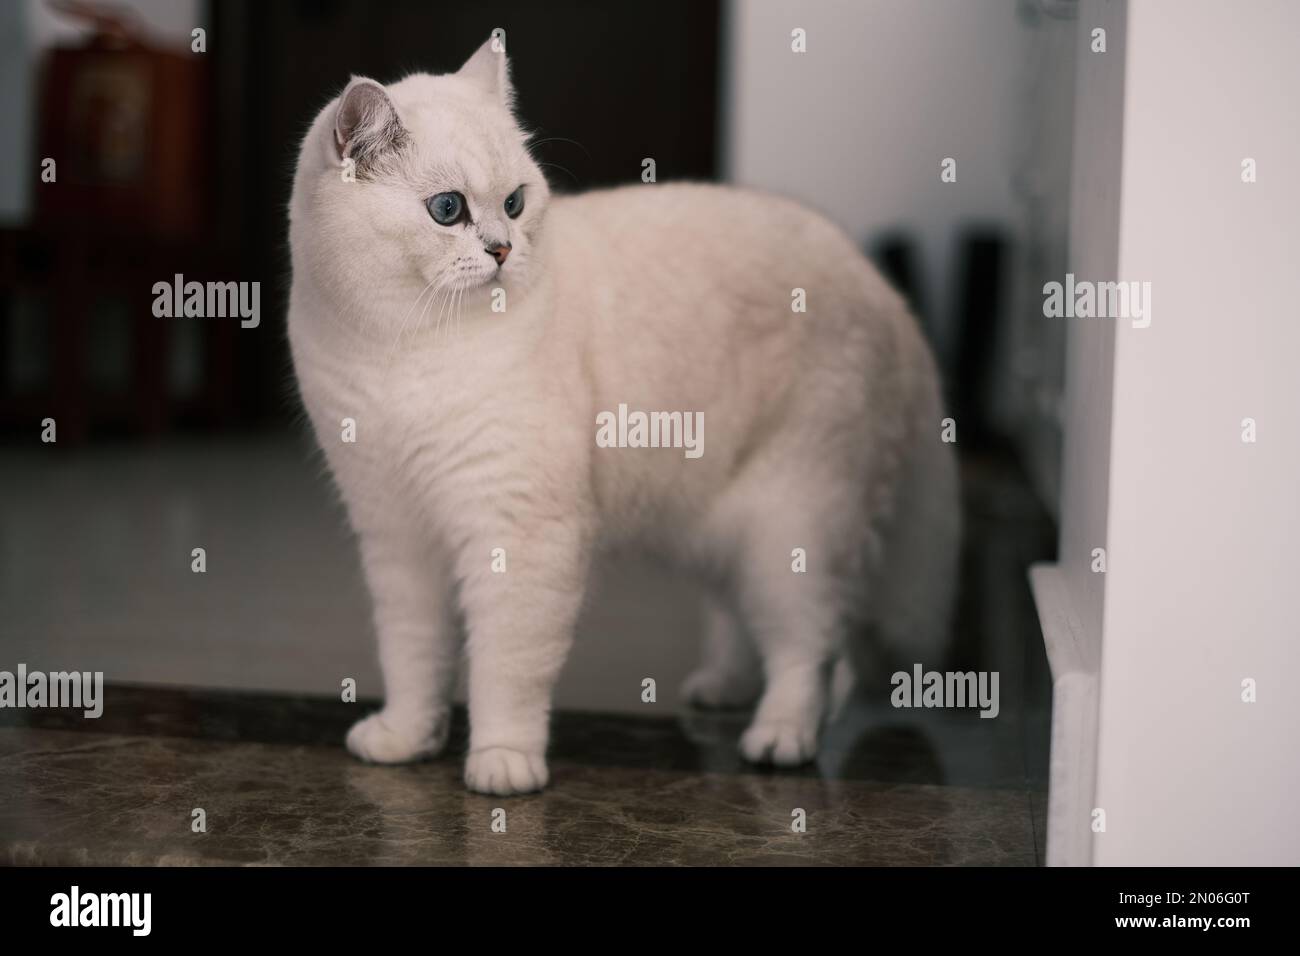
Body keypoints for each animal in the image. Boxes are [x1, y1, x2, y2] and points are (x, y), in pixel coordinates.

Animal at [289, 41, 961, 796]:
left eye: (515, 204)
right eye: (447, 210)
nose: (503, 250)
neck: (402, 351)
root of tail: (884, 289)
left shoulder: (519, 535)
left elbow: (505, 671)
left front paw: (502, 764)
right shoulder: (397, 538)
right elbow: (412, 657)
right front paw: (407, 739)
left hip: (791, 530)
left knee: (814, 653)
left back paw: (780, 738)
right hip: (719, 530)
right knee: (746, 623)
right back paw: (723, 691)